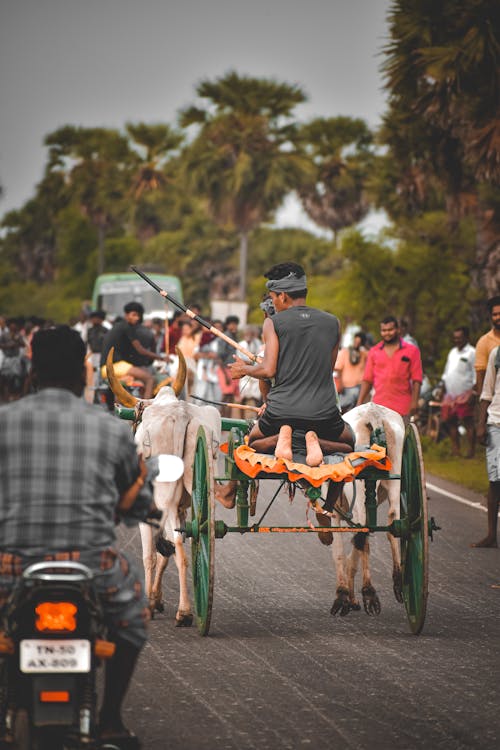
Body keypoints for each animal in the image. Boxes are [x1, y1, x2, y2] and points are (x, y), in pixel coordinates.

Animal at [106, 350, 220, 624]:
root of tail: (180, 416)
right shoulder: (182, 507)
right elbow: (163, 555)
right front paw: (156, 600)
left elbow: (149, 556)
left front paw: (149, 602)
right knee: (182, 541)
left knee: (171, 544)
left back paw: (183, 611)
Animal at [328, 408, 406, 620]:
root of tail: (374, 414)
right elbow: (358, 549)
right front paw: (351, 599)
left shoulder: (334, 513)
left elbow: (340, 553)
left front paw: (343, 596)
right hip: (395, 477)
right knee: (393, 521)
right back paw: (397, 582)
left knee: (363, 528)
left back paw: (369, 592)